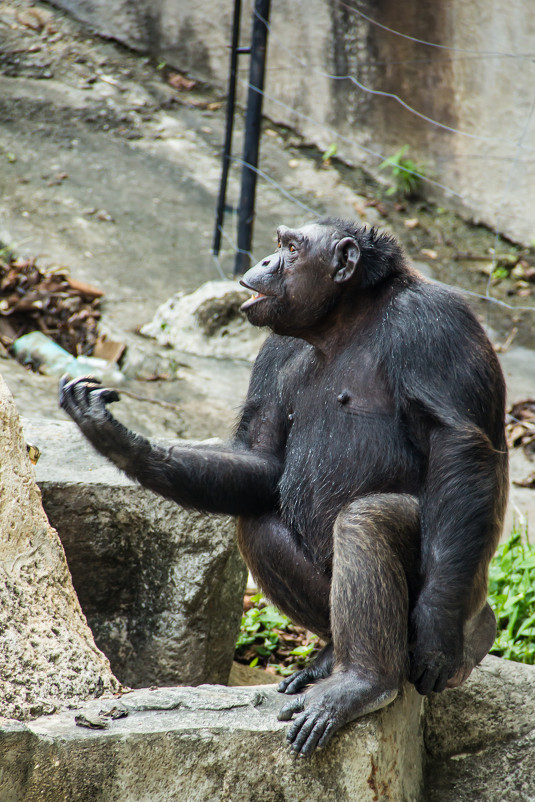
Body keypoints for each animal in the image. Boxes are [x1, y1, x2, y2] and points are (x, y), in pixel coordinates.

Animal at [58, 219, 506, 756]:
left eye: (292, 249)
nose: (268, 261)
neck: (344, 321)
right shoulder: (272, 353)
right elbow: (264, 458)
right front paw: (127, 444)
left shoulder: (437, 327)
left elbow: (455, 445)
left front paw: (438, 631)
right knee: (258, 524)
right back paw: (330, 656)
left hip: (466, 594)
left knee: (367, 523)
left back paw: (367, 679)